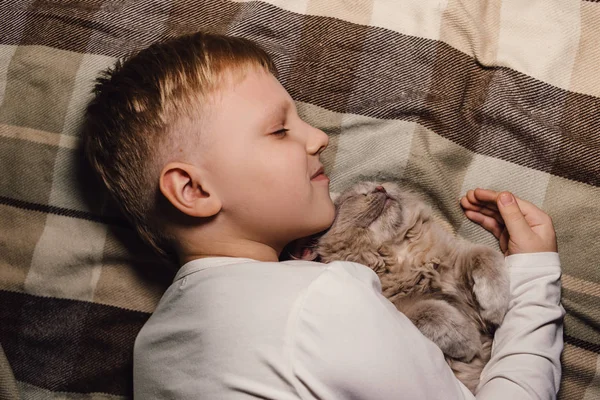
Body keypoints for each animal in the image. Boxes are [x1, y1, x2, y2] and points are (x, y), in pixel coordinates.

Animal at [292, 181, 508, 394]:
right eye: (356, 196)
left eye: (378, 184)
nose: (380, 188)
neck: (400, 253)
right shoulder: (398, 309)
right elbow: (429, 310)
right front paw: (468, 340)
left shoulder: (456, 268)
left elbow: (483, 255)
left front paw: (495, 306)